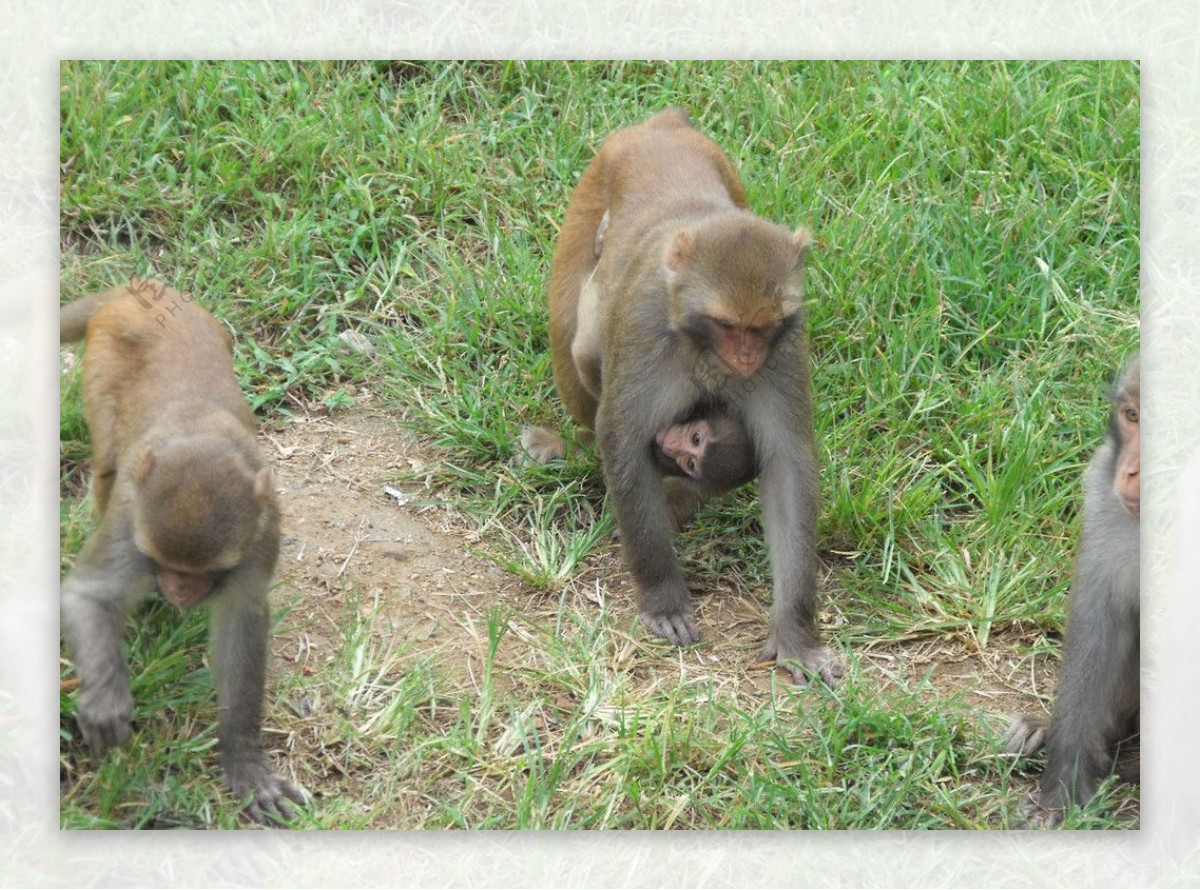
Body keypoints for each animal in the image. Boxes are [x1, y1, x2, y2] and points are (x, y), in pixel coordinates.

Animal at [59, 280, 307, 830]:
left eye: (204, 572)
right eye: (167, 565)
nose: (175, 590)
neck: (201, 434)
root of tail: (138, 291)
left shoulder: (259, 538)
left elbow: (242, 624)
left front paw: (243, 759)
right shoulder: (131, 522)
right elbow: (88, 595)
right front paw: (106, 699)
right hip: (102, 365)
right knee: (107, 464)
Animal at [520, 109, 840, 681]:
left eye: (763, 328)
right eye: (729, 325)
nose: (746, 359)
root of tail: (661, 126)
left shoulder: (786, 346)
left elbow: (786, 466)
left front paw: (797, 635)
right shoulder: (645, 325)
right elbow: (622, 439)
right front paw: (664, 600)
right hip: (587, 203)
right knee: (578, 339)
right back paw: (573, 446)